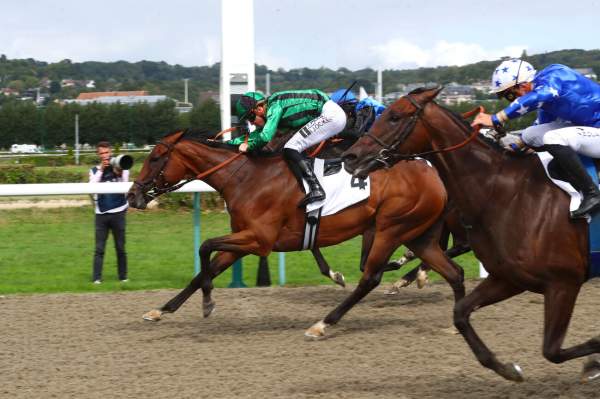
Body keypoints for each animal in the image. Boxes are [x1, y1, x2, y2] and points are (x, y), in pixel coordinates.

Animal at [125, 127, 464, 338]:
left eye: (155, 158)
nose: (132, 196)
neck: (245, 178)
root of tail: (431, 171)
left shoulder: (259, 240)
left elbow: (205, 247)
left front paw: (208, 303)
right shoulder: (244, 239)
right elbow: (203, 270)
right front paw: (161, 310)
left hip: (391, 228)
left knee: (371, 277)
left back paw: (323, 324)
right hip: (418, 235)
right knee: (454, 271)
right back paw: (455, 319)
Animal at [340, 88, 600, 384]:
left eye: (394, 116)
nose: (350, 157)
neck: (509, 194)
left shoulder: (563, 282)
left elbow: (552, 350)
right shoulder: (510, 278)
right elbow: (460, 313)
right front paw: (507, 369)